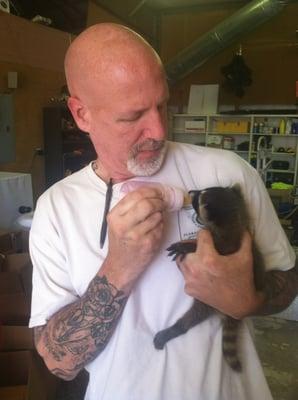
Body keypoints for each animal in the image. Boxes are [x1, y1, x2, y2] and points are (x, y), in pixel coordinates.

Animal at [154, 186, 266, 374]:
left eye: (197, 199)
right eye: (200, 192)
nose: (191, 192)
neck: (231, 218)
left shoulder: (224, 245)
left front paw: (188, 246)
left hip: (208, 301)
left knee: (192, 317)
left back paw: (175, 329)